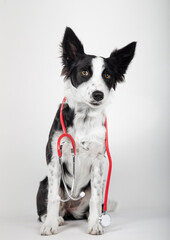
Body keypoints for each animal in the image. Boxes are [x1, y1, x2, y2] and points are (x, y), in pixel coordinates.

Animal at [36, 26, 137, 234]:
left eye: (107, 75)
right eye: (84, 72)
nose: (98, 94)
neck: (84, 118)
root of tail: (71, 209)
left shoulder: (98, 160)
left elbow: (96, 198)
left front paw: (94, 225)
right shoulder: (54, 157)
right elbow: (53, 198)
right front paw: (50, 224)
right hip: (44, 183)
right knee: (47, 207)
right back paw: (56, 219)